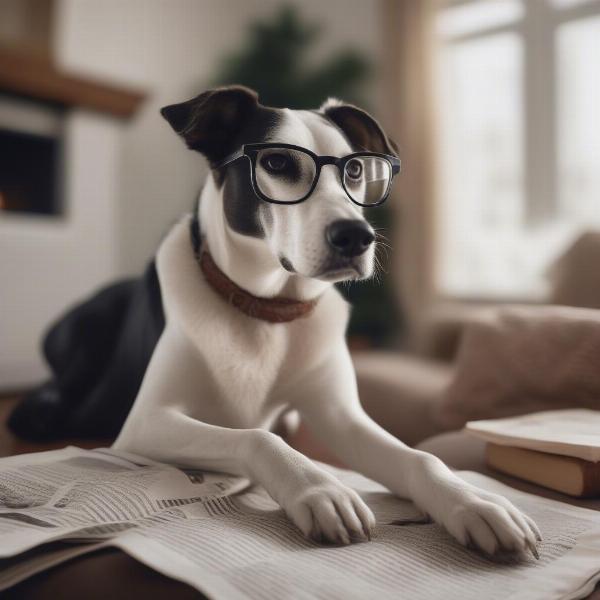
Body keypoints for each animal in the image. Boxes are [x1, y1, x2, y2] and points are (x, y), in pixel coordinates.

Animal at [11, 86, 540, 556]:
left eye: (353, 168)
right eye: (278, 163)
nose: (357, 236)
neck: (267, 311)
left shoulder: (341, 417)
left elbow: (422, 455)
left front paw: (476, 501)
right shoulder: (147, 422)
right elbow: (258, 437)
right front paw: (321, 489)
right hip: (86, 333)